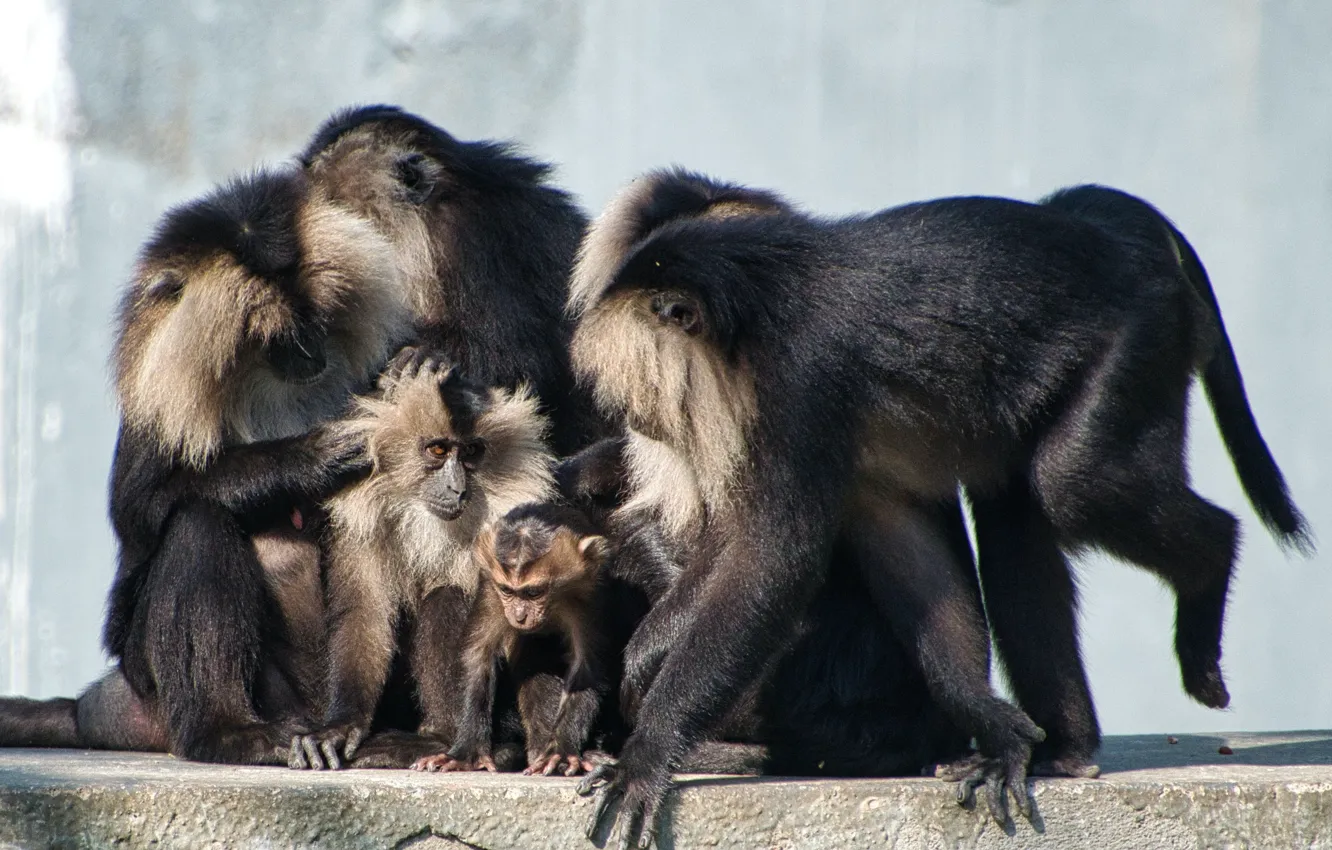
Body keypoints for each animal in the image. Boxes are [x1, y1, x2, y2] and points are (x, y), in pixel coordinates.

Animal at [412, 506, 610, 778]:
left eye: (534, 592)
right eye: (507, 590)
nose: (519, 615)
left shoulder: (586, 593)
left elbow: (586, 668)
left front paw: (561, 751)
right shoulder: (490, 588)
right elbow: (478, 656)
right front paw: (464, 753)